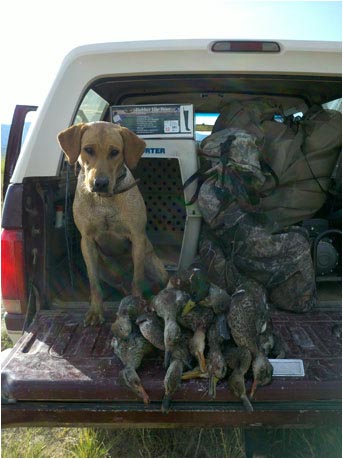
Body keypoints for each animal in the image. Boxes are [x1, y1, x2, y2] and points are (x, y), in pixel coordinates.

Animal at [58, 120, 169, 326]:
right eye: (88, 149)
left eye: (115, 152)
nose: (100, 183)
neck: (105, 201)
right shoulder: (87, 241)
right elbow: (94, 283)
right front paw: (96, 311)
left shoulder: (137, 238)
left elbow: (137, 279)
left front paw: (136, 305)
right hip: (103, 268)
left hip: (154, 265)